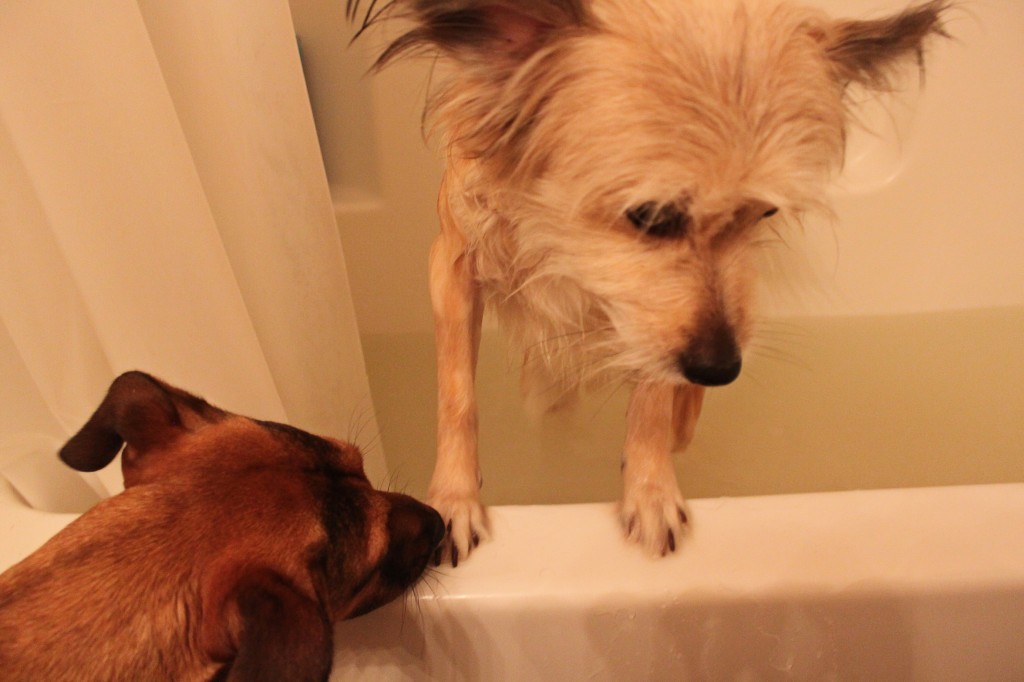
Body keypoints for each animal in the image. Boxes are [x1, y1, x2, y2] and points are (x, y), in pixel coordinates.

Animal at [348, 1, 946, 561]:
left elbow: (653, 401)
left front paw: (649, 488)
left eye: (765, 213)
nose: (720, 368)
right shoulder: (452, 266)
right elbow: (456, 395)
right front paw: (453, 498)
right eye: (651, 215)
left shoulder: (654, 327)